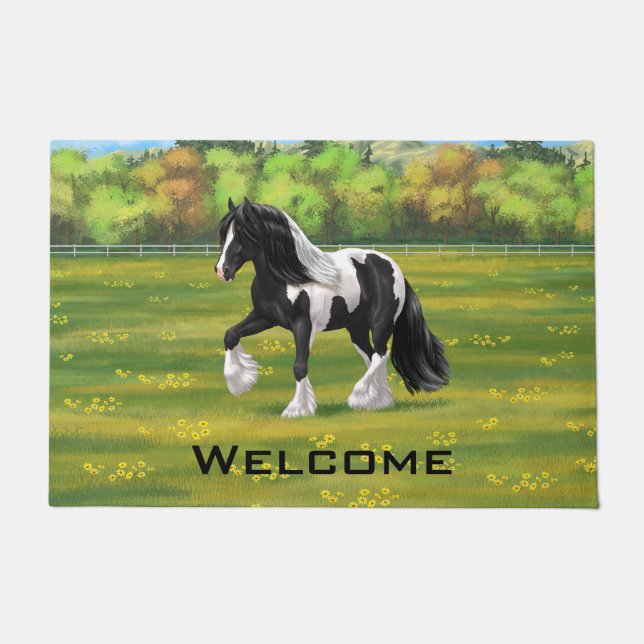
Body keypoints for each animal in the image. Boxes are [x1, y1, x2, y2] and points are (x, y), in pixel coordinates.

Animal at [215, 198, 449, 418]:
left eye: (243, 234)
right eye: (225, 234)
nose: (221, 270)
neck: (287, 277)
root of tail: (392, 267)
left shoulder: (303, 326)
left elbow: (299, 367)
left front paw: (297, 409)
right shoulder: (264, 317)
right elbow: (230, 334)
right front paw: (240, 381)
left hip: (381, 323)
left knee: (381, 354)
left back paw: (360, 397)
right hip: (357, 328)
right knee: (372, 356)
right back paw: (379, 402)